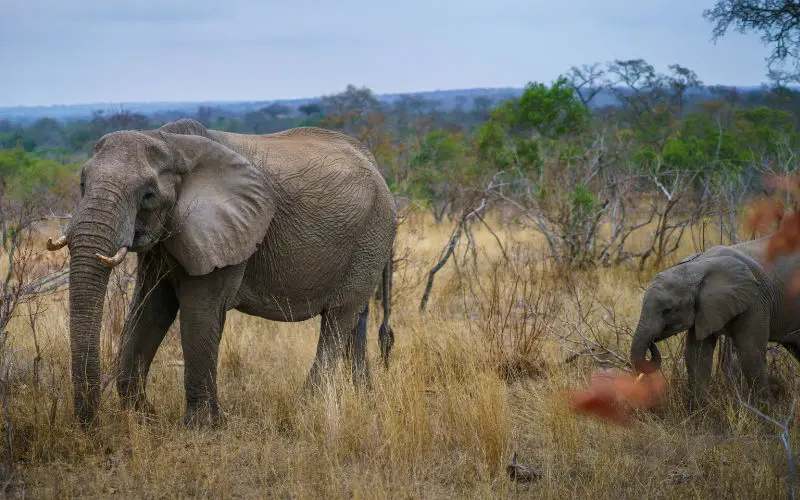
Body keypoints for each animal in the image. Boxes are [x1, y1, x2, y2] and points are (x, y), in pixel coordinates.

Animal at [46, 118, 398, 426]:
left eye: (147, 195)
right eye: (82, 184)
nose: (89, 426)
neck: (170, 142)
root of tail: (377, 169)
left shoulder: (229, 235)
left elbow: (198, 313)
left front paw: (201, 427)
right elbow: (149, 310)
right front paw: (145, 417)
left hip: (372, 234)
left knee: (338, 318)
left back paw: (304, 410)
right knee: (356, 319)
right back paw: (365, 401)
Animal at [630, 236, 800, 407]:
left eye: (667, 310)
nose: (652, 342)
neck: (696, 268)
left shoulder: (756, 301)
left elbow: (750, 351)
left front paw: (764, 410)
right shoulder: (705, 309)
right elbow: (697, 354)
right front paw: (701, 409)